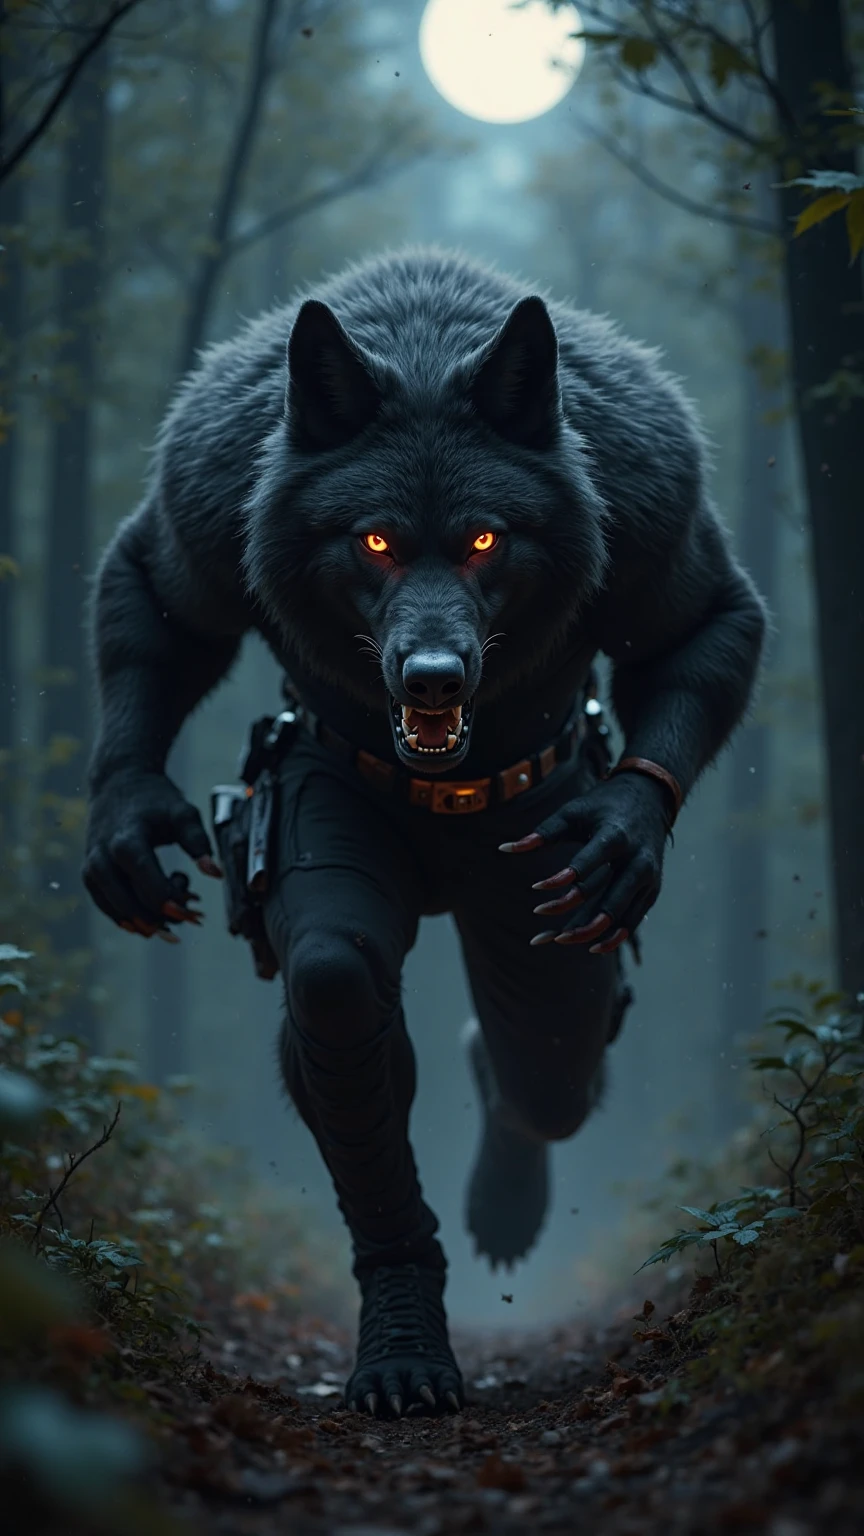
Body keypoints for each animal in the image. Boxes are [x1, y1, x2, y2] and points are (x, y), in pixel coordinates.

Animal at [83, 249, 766, 1416]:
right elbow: (161, 605)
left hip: (546, 971)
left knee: (542, 1067)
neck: (424, 348)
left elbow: (701, 623)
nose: (436, 677)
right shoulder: (200, 499)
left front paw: (625, 831)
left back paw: (506, 1198)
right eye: (376, 541)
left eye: (487, 539)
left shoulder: (656, 500)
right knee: (358, 995)